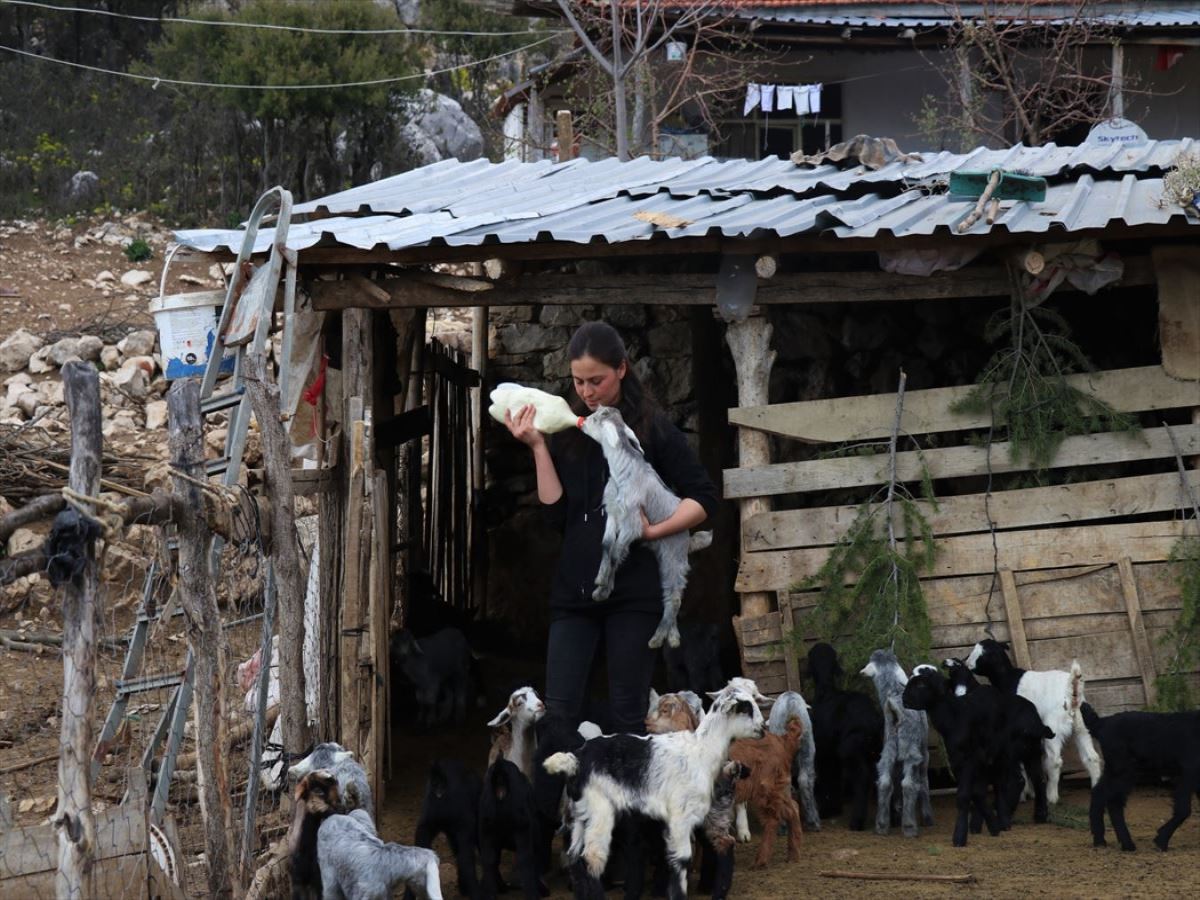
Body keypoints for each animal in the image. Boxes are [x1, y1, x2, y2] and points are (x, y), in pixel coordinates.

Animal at [542, 681, 763, 897]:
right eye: (746, 708)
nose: (763, 728)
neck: (702, 750)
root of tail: (575, 761)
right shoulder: (680, 817)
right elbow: (681, 860)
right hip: (599, 811)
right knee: (591, 859)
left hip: (580, 814)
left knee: (575, 859)